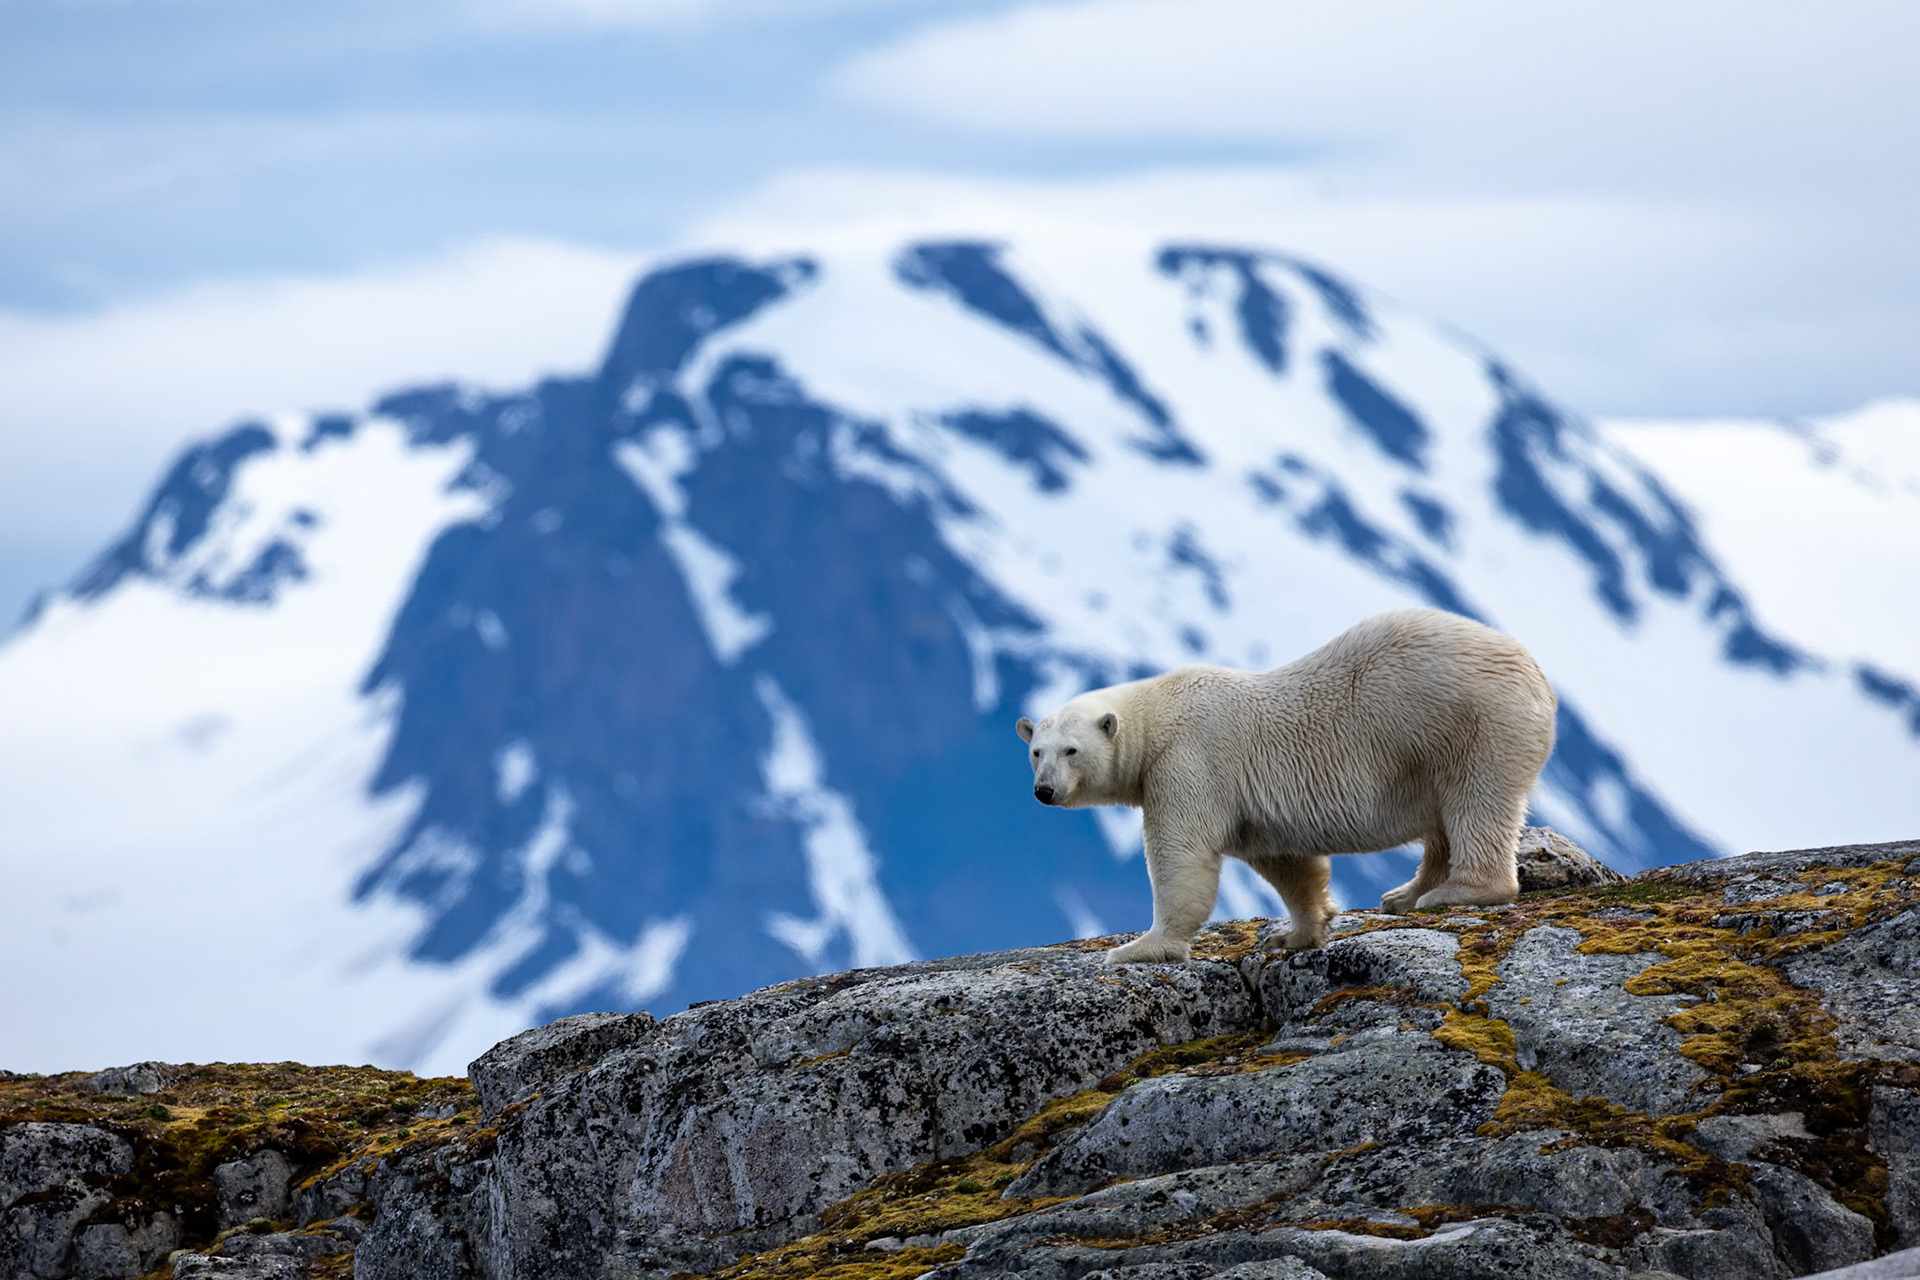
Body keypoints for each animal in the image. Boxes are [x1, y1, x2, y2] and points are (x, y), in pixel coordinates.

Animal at [1016, 608, 1557, 964]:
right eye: (1036, 751)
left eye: (1071, 750)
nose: (1044, 791)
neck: (1158, 713)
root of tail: (1536, 673)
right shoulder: (1251, 807)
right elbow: (1287, 864)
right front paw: (1295, 934)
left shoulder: (1188, 760)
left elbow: (1181, 856)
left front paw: (1137, 948)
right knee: (1443, 819)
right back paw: (1404, 894)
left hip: (1470, 723)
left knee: (1476, 800)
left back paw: (1458, 891)